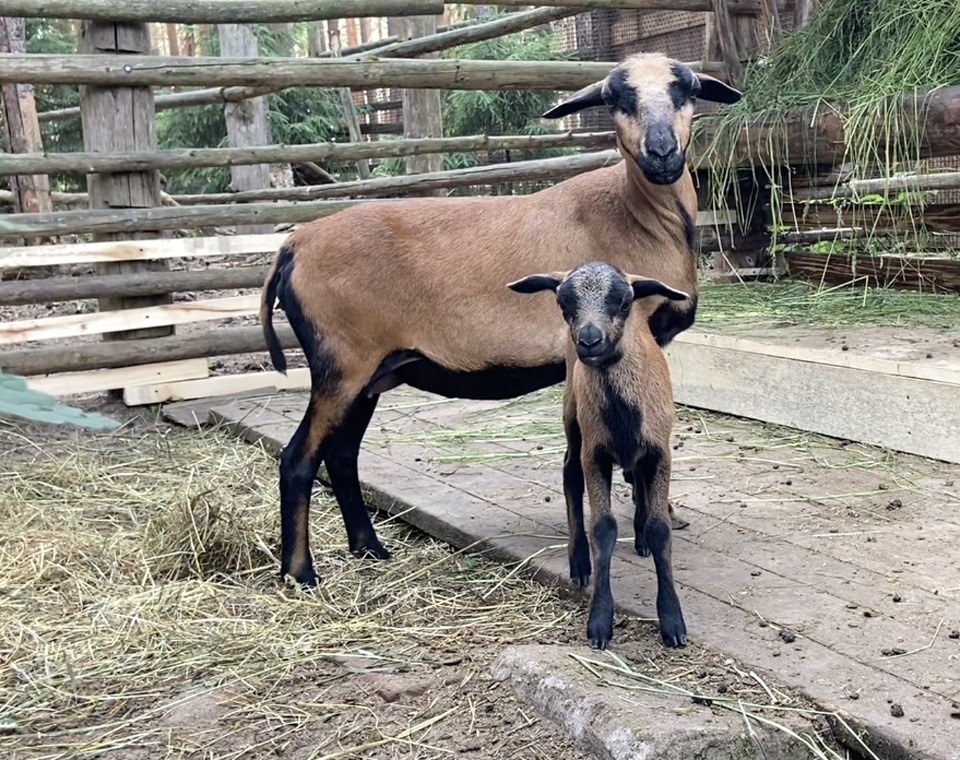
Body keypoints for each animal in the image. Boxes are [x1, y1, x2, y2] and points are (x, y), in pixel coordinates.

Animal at [258, 55, 740, 588]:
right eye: (616, 98)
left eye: (687, 89)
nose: (661, 153)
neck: (640, 215)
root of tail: (291, 247)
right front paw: (648, 527)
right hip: (341, 364)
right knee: (298, 460)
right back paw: (301, 573)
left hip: (370, 373)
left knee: (342, 457)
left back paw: (370, 548)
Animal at [510, 262, 688, 648]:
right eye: (563, 303)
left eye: (623, 302)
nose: (589, 340)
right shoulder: (595, 454)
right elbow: (603, 528)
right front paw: (600, 621)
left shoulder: (659, 453)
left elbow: (660, 528)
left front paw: (672, 620)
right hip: (573, 418)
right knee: (570, 476)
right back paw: (578, 562)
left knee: (636, 484)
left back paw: (639, 538)